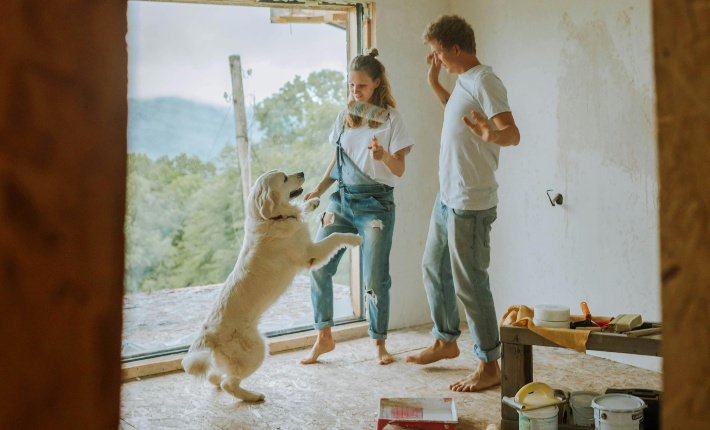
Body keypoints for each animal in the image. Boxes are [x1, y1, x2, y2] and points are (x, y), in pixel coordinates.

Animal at [181, 170, 364, 402]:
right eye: (284, 178)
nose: (301, 173)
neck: (270, 218)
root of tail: (207, 336)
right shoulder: (310, 253)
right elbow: (335, 236)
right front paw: (354, 238)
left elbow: (302, 209)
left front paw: (312, 202)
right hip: (257, 350)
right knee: (227, 383)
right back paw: (253, 396)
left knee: (215, 377)